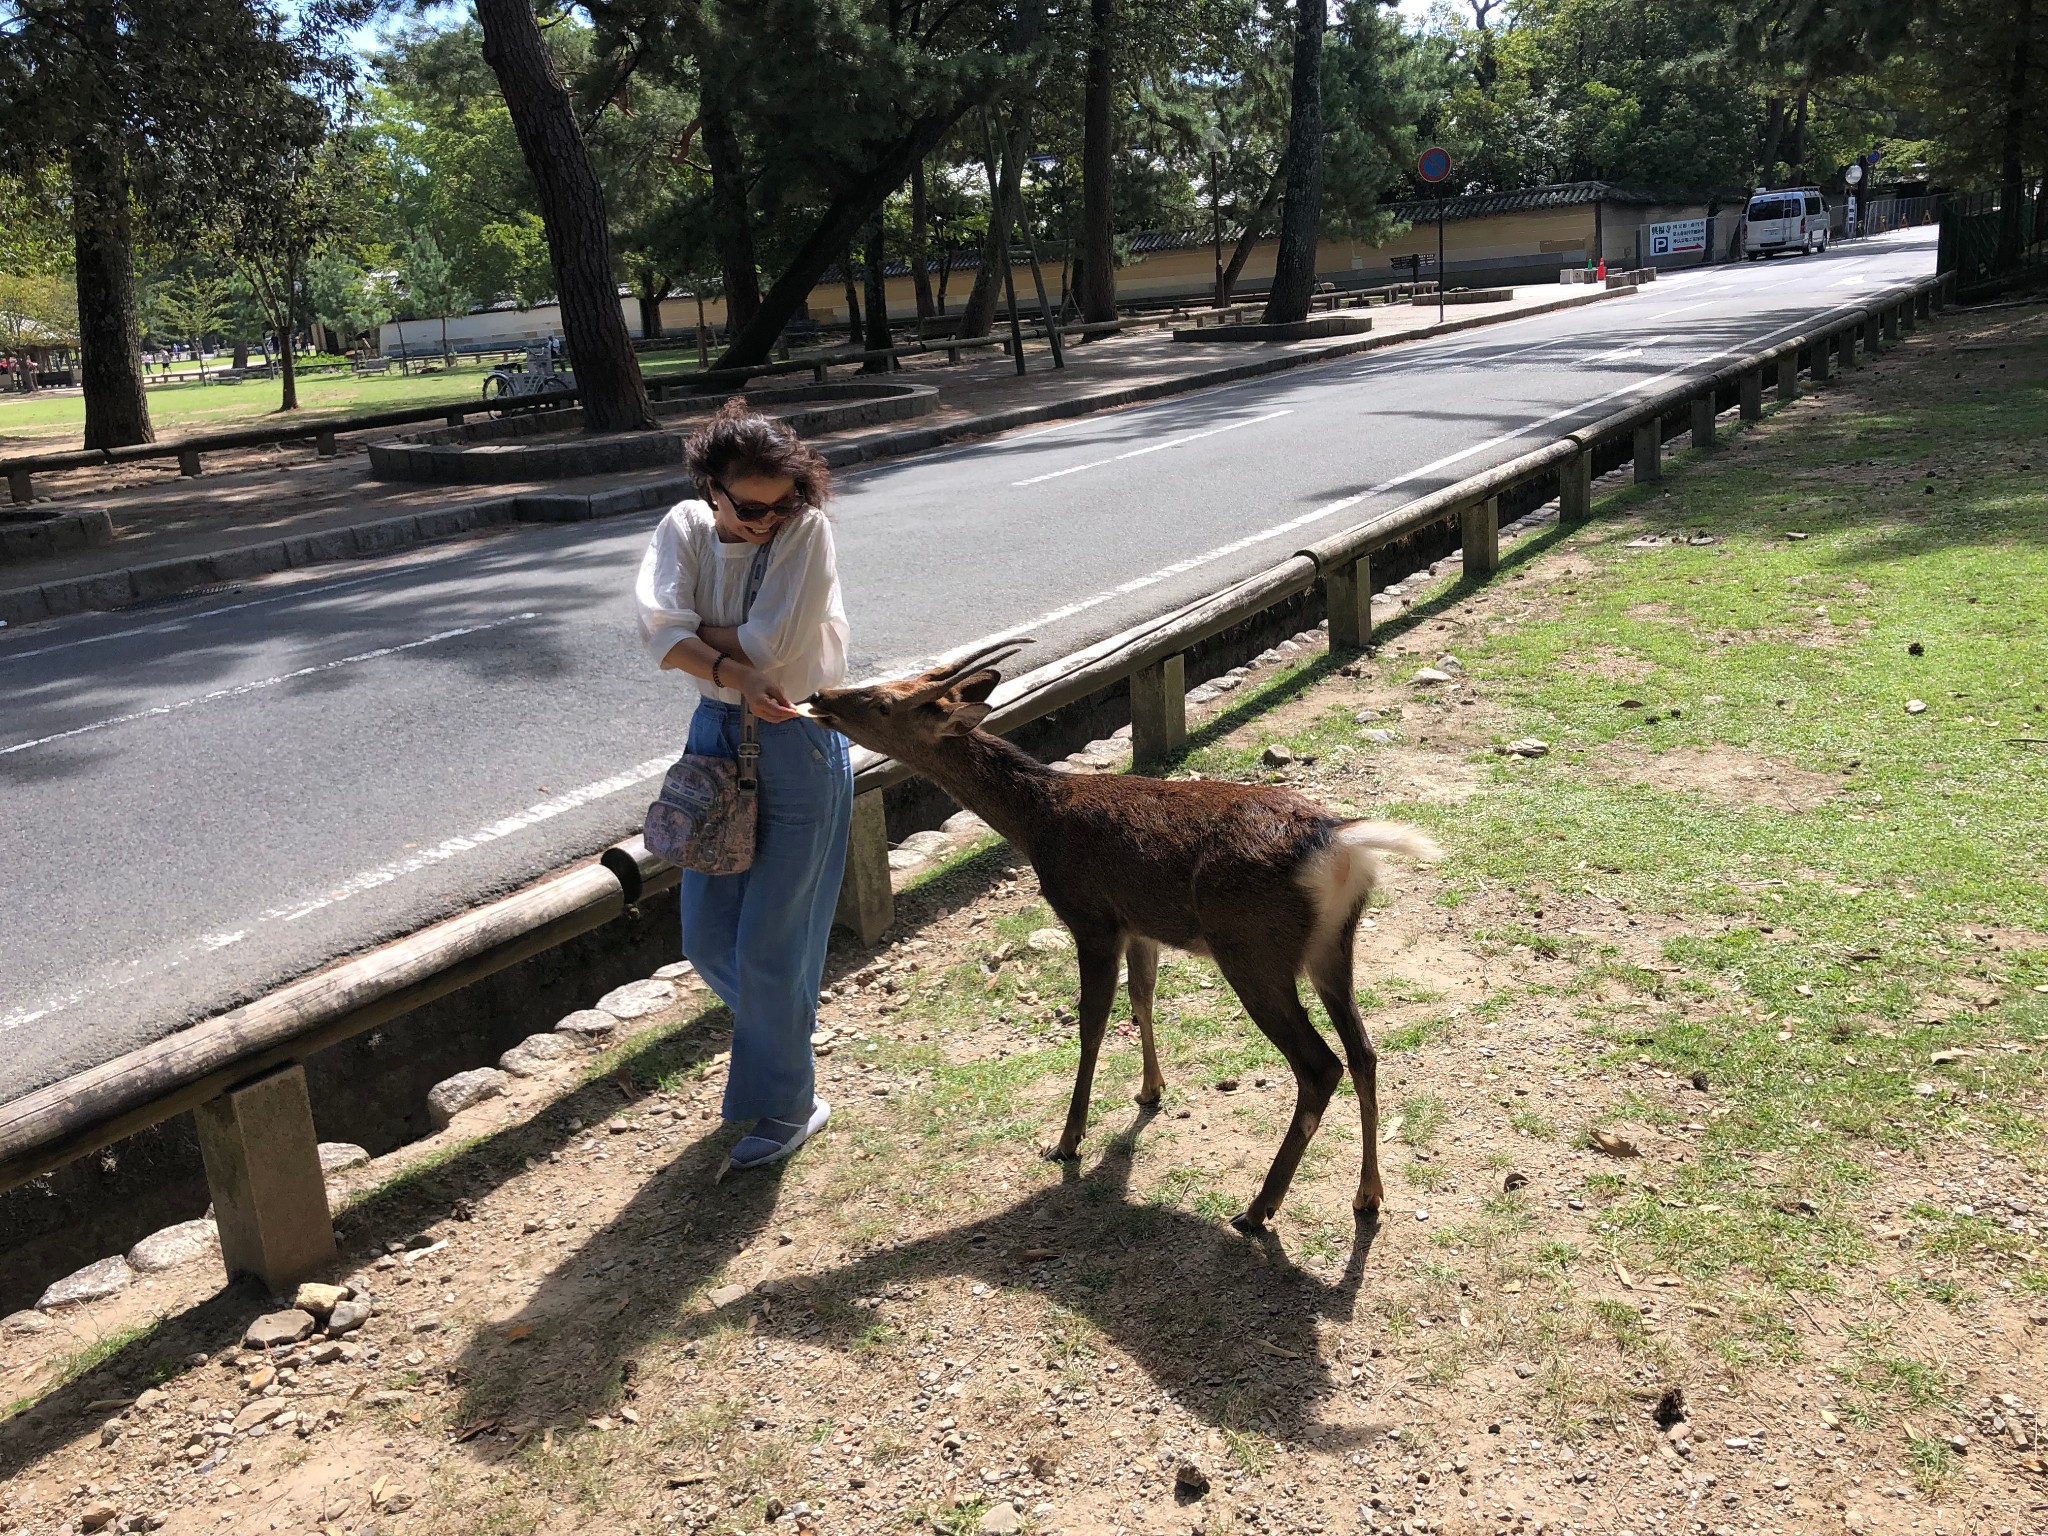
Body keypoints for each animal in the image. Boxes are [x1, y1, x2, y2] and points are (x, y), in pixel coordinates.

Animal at [802, 643, 1441, 1236]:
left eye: (882, 703)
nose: (819, 696)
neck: (1036, 824)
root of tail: (1338, 842)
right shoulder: (1140, 925)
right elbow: (1142, 1000)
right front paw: (1151, 1090)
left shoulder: (1091, 916)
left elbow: (1091, 1022)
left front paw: (1067, 1139)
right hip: (1332, 947)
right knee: (1364, 1052)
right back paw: (1368, 1194)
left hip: (1252, 948)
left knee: (1320, 1065)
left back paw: (1259, 1209)